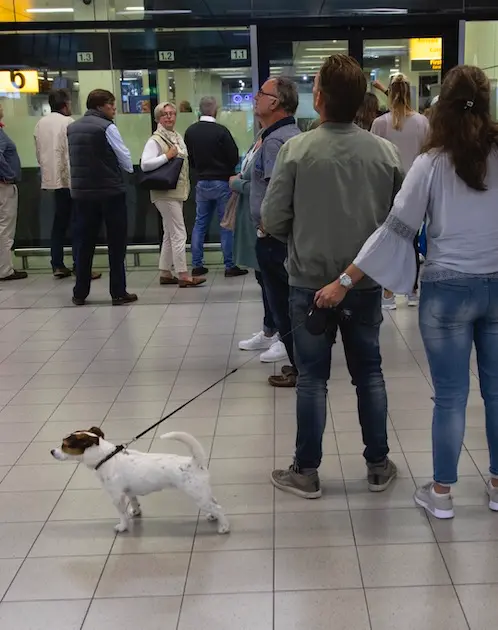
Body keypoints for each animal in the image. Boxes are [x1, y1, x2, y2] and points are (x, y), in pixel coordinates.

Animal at [50, 428, 230, 536]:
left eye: (64, 445)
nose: (51, 451)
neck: (106, 457)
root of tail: (194, 462)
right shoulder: (129, 492)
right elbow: (134, 501)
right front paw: (135, 512)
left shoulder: (117, 497)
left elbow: (122, 514)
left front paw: (123, 526)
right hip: (202, 492)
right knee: (214, 502)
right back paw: (212, 516)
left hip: (197, 495)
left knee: (219, 508)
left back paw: (224, 527)